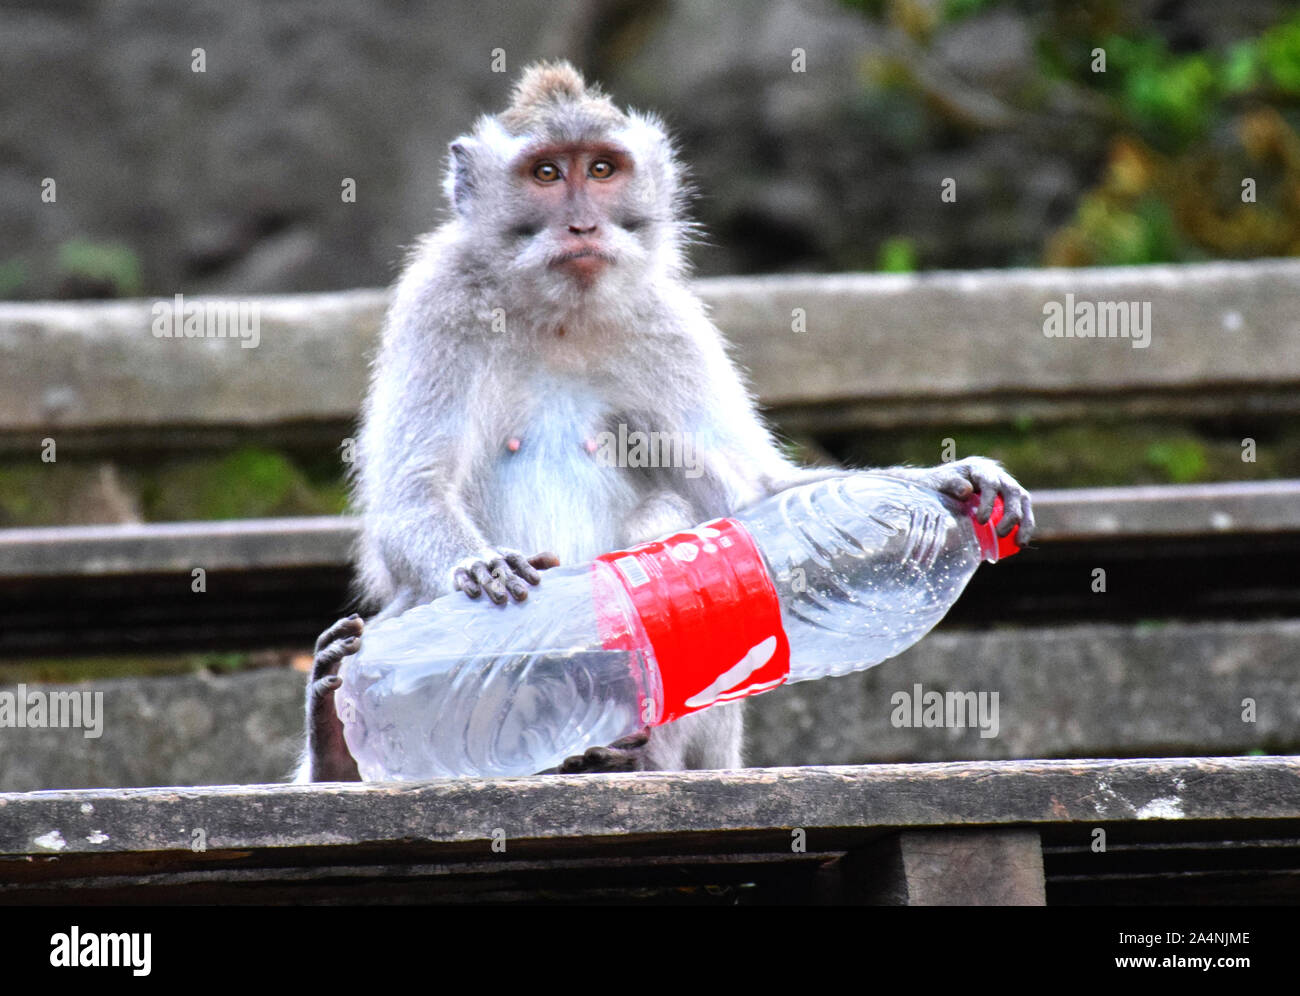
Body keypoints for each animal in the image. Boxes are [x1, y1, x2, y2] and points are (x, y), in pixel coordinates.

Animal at [297, 61, 1034, 783]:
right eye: (546, 174)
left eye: (601, 169)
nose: (583, 227)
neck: (557, 314)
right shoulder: (439, 302)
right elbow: (413, 494)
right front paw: (483, 566)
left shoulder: (667, 323)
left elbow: (756, 491)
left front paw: (947, 480)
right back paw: (338, 743)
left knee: (670, 519)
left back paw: (623, 751)